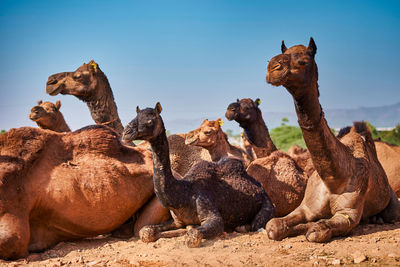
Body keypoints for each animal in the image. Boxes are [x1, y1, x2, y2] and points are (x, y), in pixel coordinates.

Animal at [120, 103, 274, 248]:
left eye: (150, 119)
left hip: (267, 206)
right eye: (136, 115)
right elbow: (145, 231)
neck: (184, 193)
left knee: (254, 224)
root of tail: (260, 188)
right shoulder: (176, 220)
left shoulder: (209, 210)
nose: (126, 132)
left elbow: (192, 236)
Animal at [264, 38, 398, 245]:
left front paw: (312, 227)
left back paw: (377, 218)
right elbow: (273, 226)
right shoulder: (305, 207)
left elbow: (317, 231)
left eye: (302, 61)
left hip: (393, 204)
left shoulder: (348, 213)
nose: (273, 67)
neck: (333, 178)